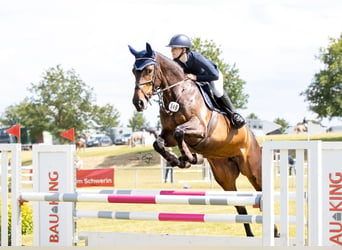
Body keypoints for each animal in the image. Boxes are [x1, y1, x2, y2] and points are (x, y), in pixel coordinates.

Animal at [128, 42, 276, 236]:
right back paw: (250, 235)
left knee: (261, 192)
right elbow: (158, 143)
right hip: (224, 177)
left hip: (253, 170)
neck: (177, 94)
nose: (138, 103)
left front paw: (189, 158)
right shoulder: (168, 134)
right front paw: (179, 159)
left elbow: (180, 132)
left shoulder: (200, 128)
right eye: (133, 71)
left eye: (149, 70)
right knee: (240, 207)